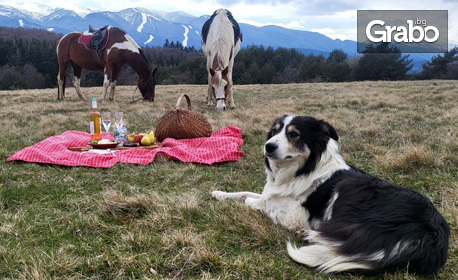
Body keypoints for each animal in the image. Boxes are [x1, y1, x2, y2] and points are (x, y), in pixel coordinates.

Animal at [213, 115, 450, 274]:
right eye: (274, 131)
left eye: (294, 134)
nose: (268, 146)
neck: (301, 169)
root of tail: (434, 234)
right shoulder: (273, 194)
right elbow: (250, 193)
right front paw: (219, 193)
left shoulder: (294, 216)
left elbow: (255, 202)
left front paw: (247, 202)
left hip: (350, 195)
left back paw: (308, 235)